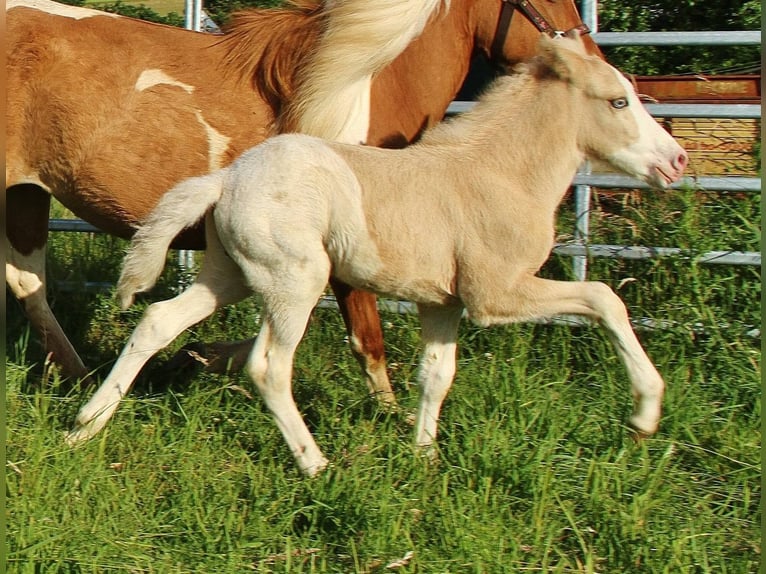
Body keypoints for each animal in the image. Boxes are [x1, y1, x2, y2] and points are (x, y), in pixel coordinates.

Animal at [5, 0, 599, 404]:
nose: (593, 60)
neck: (356, 85)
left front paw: (198, 357)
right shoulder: (352, 247)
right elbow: (366, 338)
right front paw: (390, 418)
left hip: (28, 194)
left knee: (27, 282)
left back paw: (78, 374)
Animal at [67, 34, 688, 476]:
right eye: (618, 101)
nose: (677, 161)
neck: (497, 174)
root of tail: (226, 178)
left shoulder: (444, 303)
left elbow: (436, 374)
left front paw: (423, 458)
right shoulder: (496, 294)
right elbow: (605, 299)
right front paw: (645, 414)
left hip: (230, 275)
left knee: (157, 320)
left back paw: (84, 425)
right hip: (296, 281)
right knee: (268, 367)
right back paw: (316, 464)